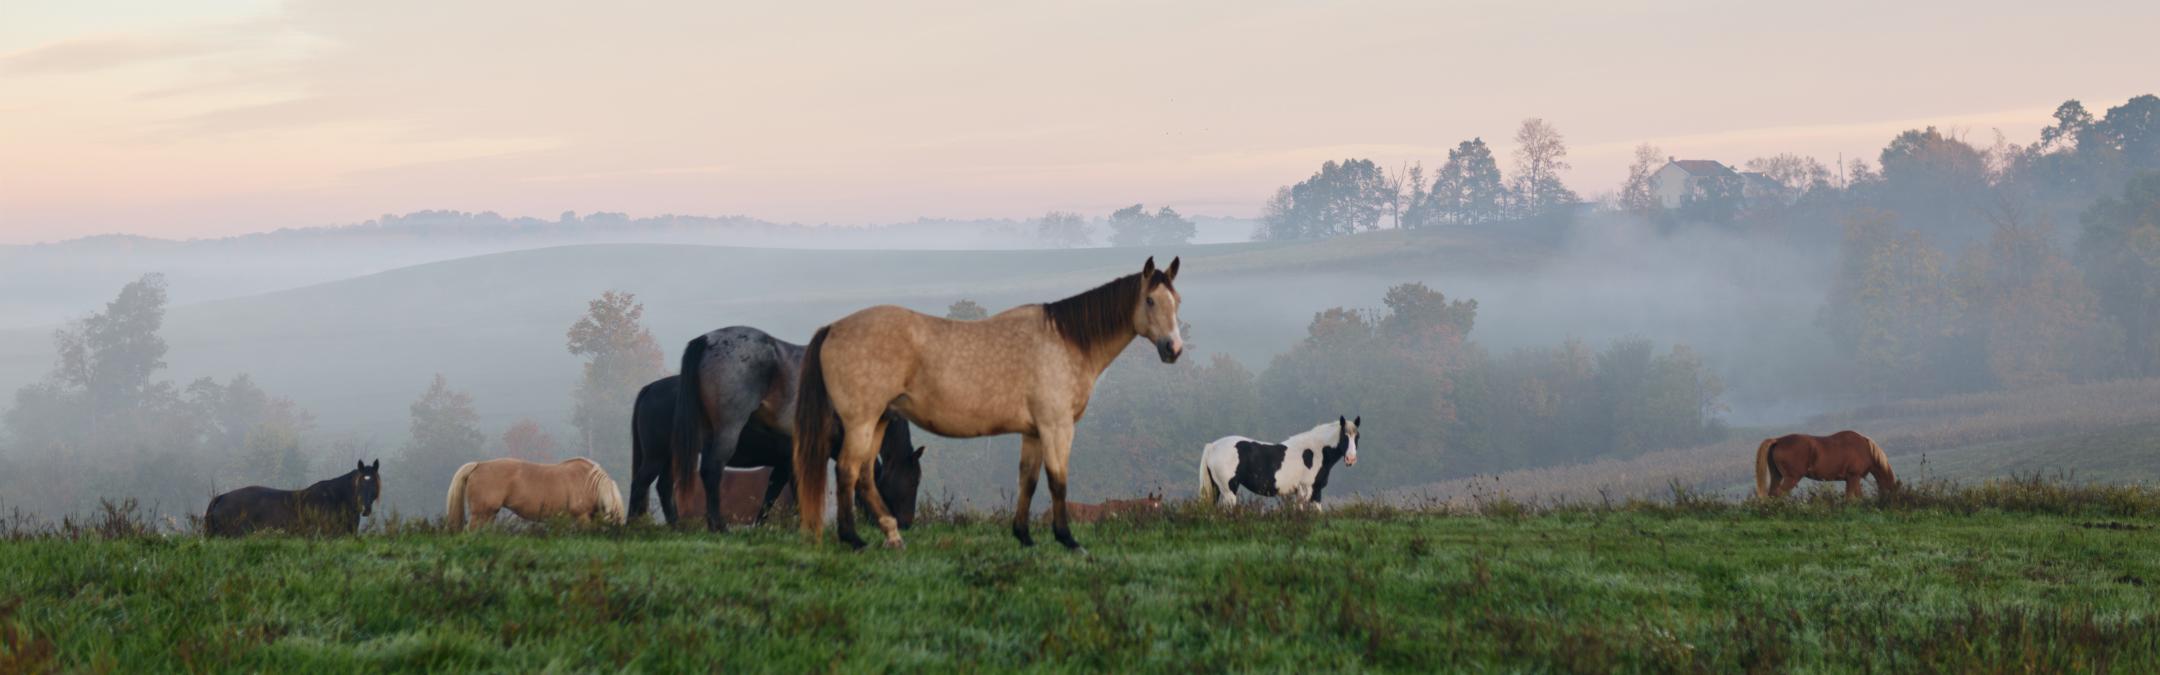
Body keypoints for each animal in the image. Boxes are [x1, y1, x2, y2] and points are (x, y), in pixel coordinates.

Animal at [631, 373, 924, 527]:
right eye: (912, 481)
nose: (907, 522)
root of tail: (651, 388)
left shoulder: (783, 465)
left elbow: (770, 497)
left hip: (673, 456)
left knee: (664, 486)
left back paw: (675, 526)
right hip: (658, 455)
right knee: (642, 482)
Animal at [795, 256, 1184, 552]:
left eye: (1176, 301)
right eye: (1150, 301)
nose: (1173, 349)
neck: (1064, 342)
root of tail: (833, 327)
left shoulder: (1034, 431)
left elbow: (1028, 480)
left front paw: (1024, 537)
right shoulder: (1057, 427)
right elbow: (1057, 481)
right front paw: (1068, 540)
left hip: (878, 420)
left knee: (864, 476)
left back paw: (892, 536)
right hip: (861, 422)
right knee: (847, 471)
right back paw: (854, 539)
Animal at [1199, 417, 1360, 509]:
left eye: (1357, 436)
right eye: (1344, 437)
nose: (1351, 459)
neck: (1316, 451)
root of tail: (1212, 446)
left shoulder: (1315, 493)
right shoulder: (1306, 491)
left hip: (1217, 489)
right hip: (1228, 491)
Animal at [1753, 430, 1897, 498]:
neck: (1866, 449)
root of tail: (1778, 440)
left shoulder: (1851, 479)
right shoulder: (1853, 477)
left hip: (1777, 475)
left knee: (1772, 493)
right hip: (1791, 478)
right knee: (1779, 493)